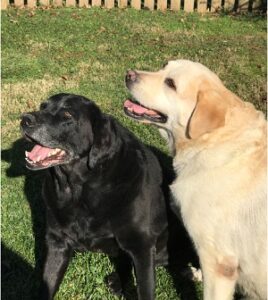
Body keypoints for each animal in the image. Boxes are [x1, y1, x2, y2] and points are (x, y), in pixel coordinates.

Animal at [21, 94, 172, 300]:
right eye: (43, 107)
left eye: (67, 116)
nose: (24, 119)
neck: (79, 190)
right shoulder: (57, 243)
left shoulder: (142, 246)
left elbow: (145, 288)